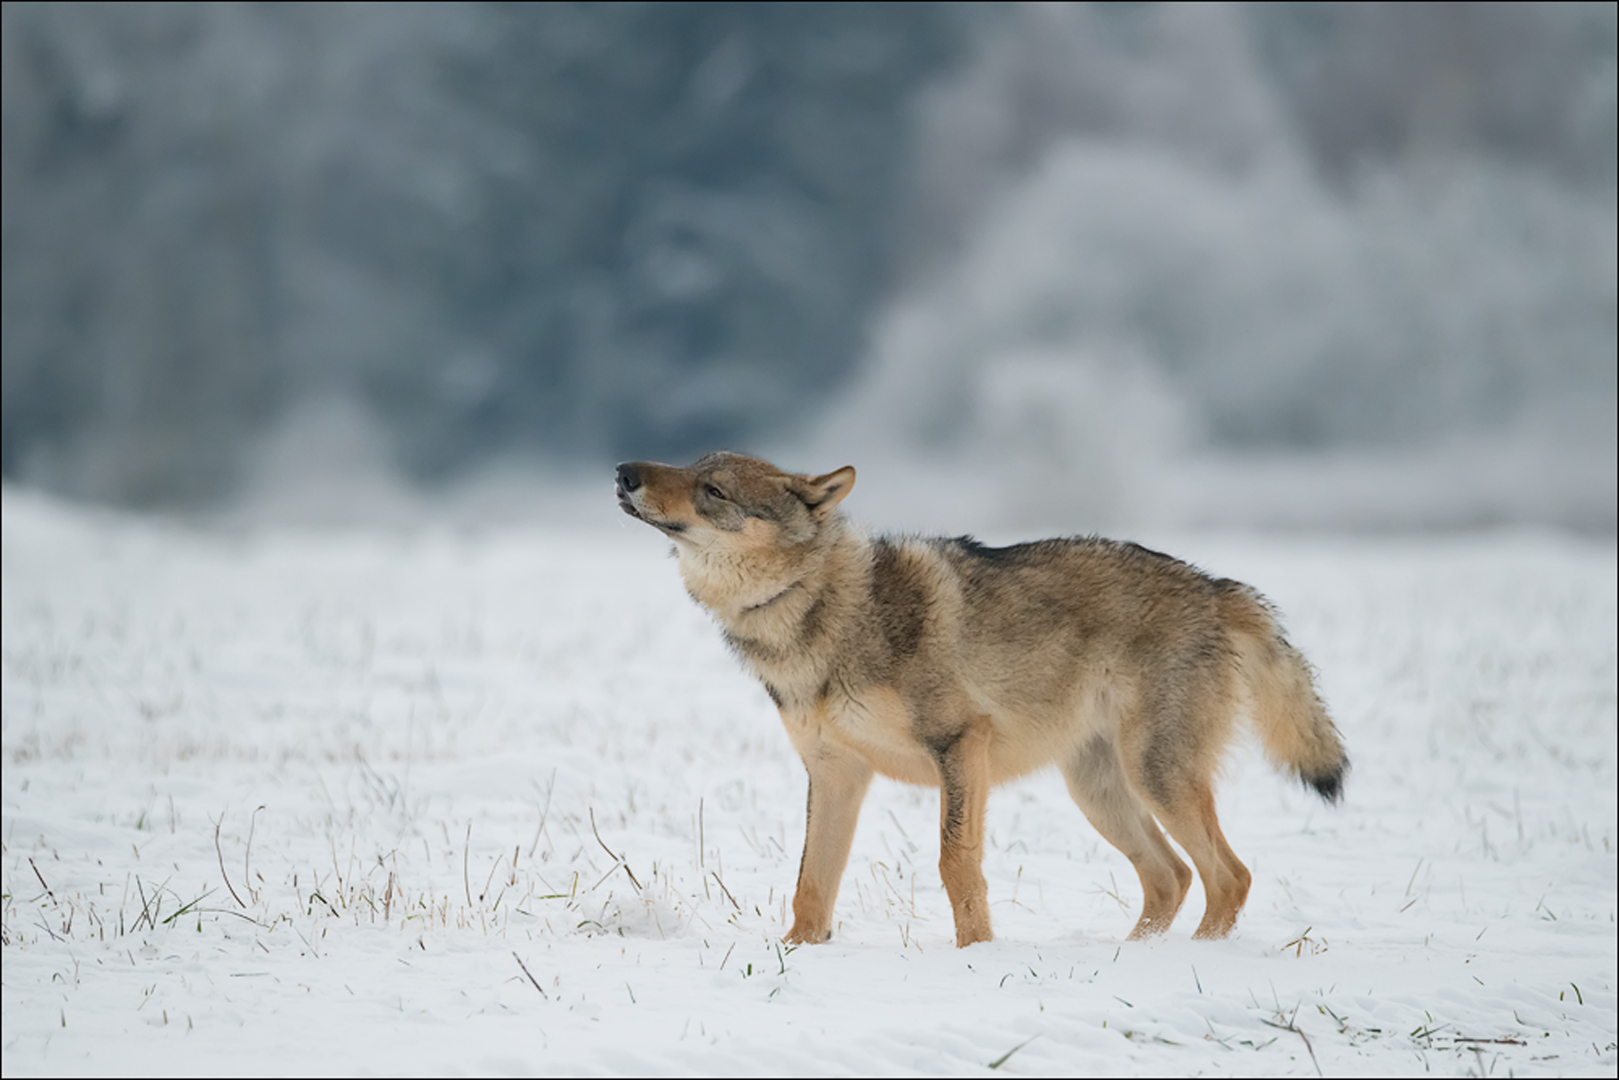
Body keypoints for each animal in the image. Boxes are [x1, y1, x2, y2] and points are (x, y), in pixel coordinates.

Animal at [611, 450, 1347, 945]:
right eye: (687, 463)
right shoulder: (836, 773)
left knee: (1229, 876)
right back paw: (1133, 956)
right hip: (1099, 792)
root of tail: (1217, 586)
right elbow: (810, 884)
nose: (623, 471)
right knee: (1171, 877)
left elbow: (954, 864)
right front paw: (796, 955)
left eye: (712, 489)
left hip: (1154, 777)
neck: (820, 612)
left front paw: (976, 955)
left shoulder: (959, 746)